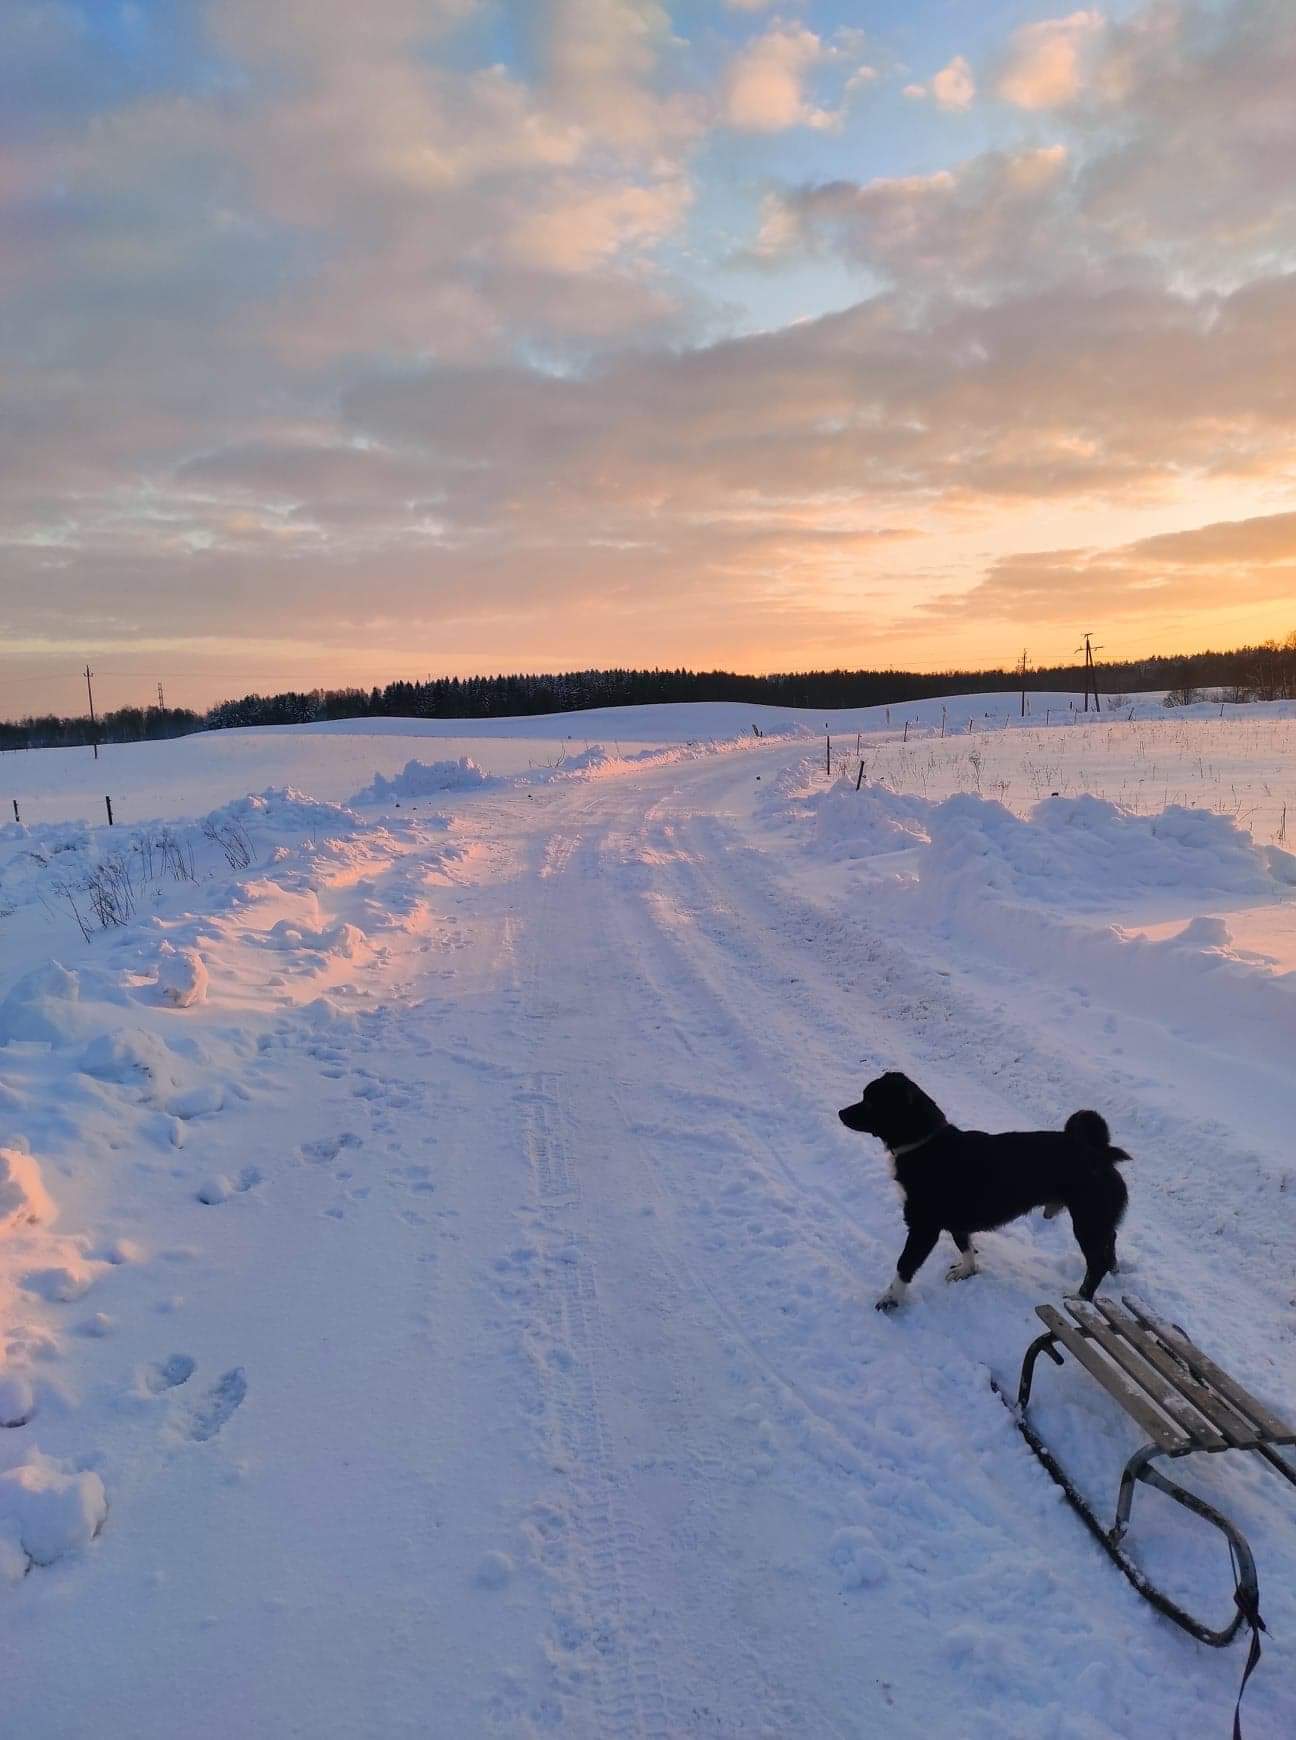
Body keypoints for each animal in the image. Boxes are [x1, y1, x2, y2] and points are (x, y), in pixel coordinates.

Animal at [838, 1064, 1120, 1308]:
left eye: (870, 1102)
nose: (840, 1113)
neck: (926, 1144)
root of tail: (1100, 1152)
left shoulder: (923, 1227)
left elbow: (904, 1265)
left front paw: (891, 1298)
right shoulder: (955, 1221)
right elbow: (965, 1246)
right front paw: (967, 1270)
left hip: (1087, 1221)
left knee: (1097, 1263)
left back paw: (1080, 1298)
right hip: (1097, 1222)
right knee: (1109, 1245)